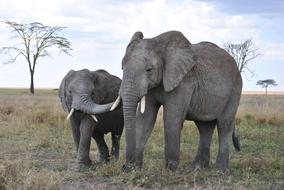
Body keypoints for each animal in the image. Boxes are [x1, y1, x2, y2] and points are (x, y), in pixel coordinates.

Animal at [111, 30, 242, 172]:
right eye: (122, 68)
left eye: (149, 69)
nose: (125, 166)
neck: (160, 45)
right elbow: (145, 119)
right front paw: (135, 169)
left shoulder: (184, 81)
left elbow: (171, 118)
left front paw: (170, 170)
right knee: (204, 127)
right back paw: (195, 168)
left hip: (235, 89)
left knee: (224, 124)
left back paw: (220, 171)